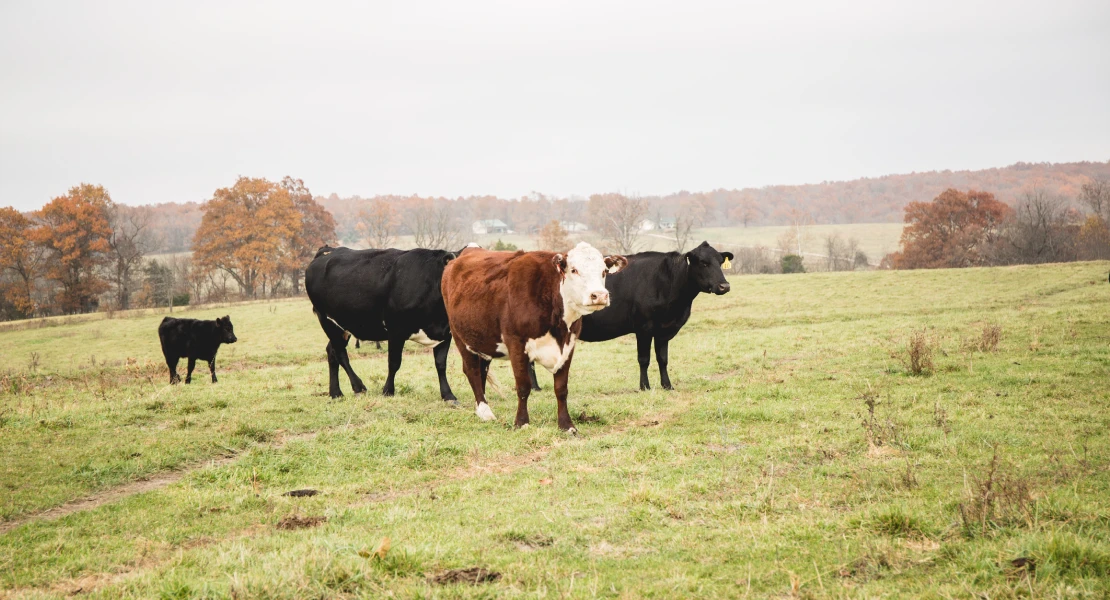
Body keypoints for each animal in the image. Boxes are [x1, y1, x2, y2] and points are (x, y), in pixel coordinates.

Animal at [301, 242, 457, 401]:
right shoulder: (396, 330)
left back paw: (336, 393)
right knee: (340, 353)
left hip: (343, 326)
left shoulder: (445, 333)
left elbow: (441, 363)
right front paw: (388, 391)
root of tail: (328, 250)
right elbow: (394, 362)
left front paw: (448, 395)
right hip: (326, 320)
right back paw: (358, 387)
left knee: (331, 351)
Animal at [444, 240, 634, 432]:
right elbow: (523, 386)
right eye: (574, 270)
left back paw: (480, 408)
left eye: (604, 271)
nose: (599, 295)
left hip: (484, 340)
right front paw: (521, 422)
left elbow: (561, 388)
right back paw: (485, 412)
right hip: (459, 336)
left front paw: (567, 425)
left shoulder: (568, 345)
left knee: (482, 370)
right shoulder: (516, 343)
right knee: (472, 371)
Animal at [530, 240, 737, 390]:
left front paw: (667, 385)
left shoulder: (664, 330)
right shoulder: (643, 327)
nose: (724, 286)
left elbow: (663, 359)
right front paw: (644, 386)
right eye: (703, 263)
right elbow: (644, 359)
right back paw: (535, 388)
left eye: (720, 262)